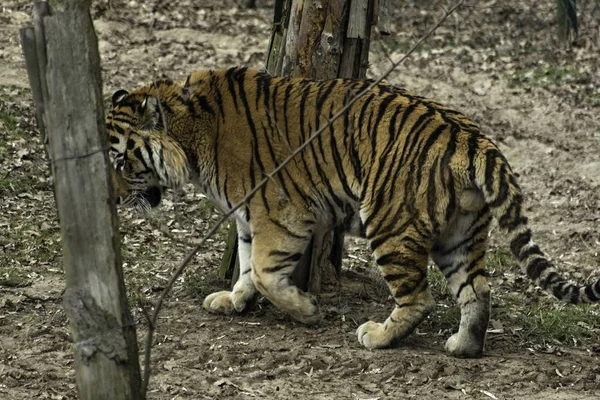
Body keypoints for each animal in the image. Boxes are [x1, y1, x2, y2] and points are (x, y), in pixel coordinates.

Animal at [108, 67, 600, 358]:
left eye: (121, 163)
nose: (112, 199)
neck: (190, 133)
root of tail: (473, 136)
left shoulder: (281, 212)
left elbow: (266, 273)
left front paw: (305, 311)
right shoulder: (249, 216)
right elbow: (248, 266)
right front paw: (233, 300)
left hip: (391, 225)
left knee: (420, 298)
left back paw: (378, 336)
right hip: (460, 234)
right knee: (477, 290)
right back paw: (463, 346)